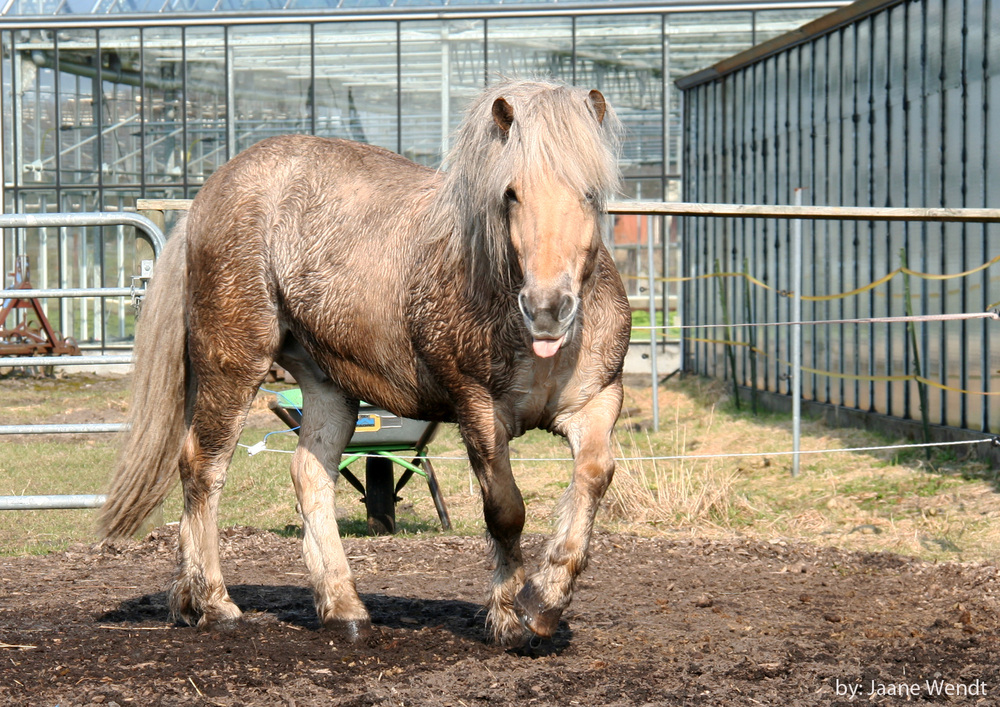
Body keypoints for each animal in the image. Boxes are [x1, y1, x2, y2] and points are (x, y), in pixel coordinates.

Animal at [103, 79, 632, 648]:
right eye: (510, 194)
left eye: (590, 193)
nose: (547, 308)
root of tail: (208, 194)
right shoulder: (478, 409)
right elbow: (506, 511)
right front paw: (512, 615)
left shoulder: (596, 402)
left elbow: (594, 477)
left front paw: (547, 600)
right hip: (234, 361)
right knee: (202, 467)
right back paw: (213, 602)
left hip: (327, 384)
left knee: (309, 475)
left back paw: (337, 607)